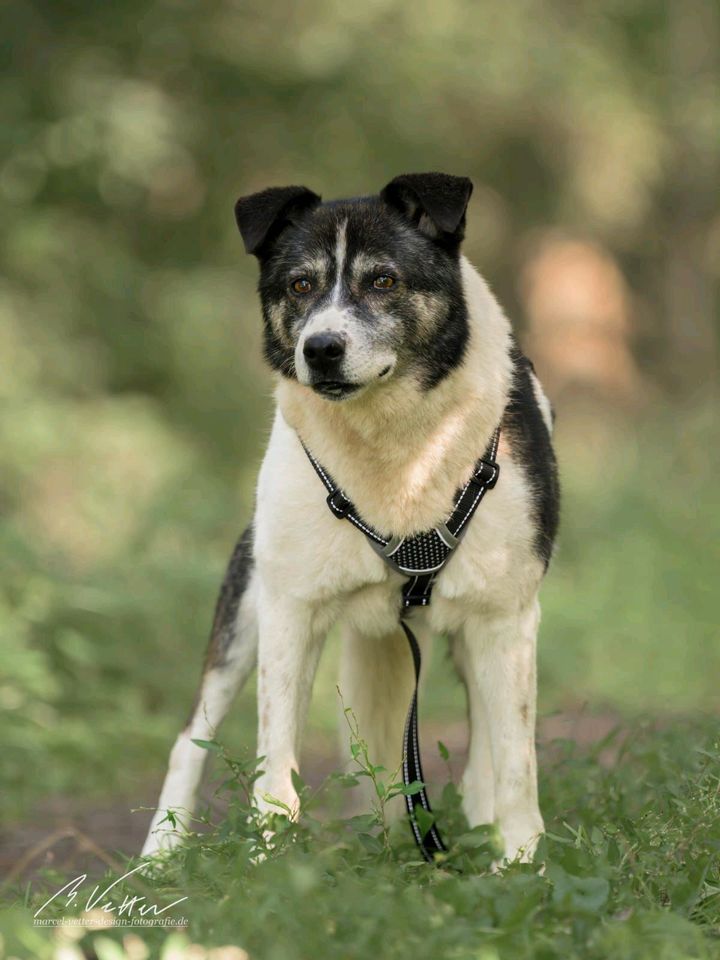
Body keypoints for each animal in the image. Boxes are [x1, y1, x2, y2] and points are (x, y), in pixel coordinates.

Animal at [139, 171, 556, 864]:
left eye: (383, 280)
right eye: (300, 285)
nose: (322, 349)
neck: (392, 449)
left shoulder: (507, 614)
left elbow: (516, 759)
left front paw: (523, 863)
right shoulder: (289, 609)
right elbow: (273, 766)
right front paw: (270, 867)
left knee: (483, 745)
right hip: (245, 605)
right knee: (190, 735)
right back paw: (156, 859)